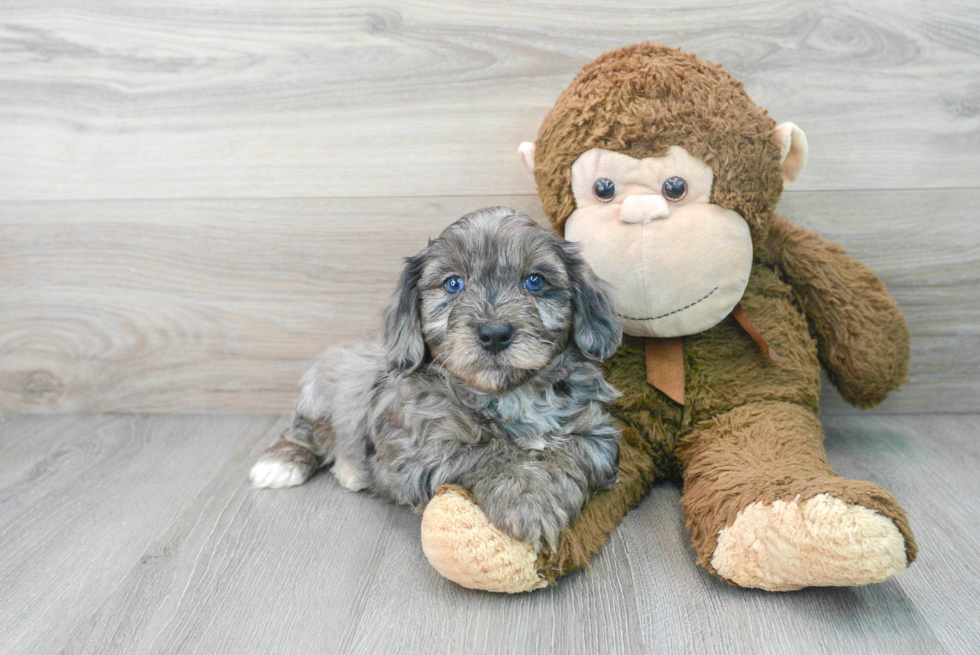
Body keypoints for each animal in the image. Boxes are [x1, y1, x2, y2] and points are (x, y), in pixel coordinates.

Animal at [249, 208, 624, 552]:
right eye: (453, 284)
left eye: (535, 281)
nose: (494, 333)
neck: (506, 394)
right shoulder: (424, 449)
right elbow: (487, 451)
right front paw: (527, 496)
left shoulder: (596, 433)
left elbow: (569, 450)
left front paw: (539, 495)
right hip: (322, 401)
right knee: (303, 432)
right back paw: (281, 464)